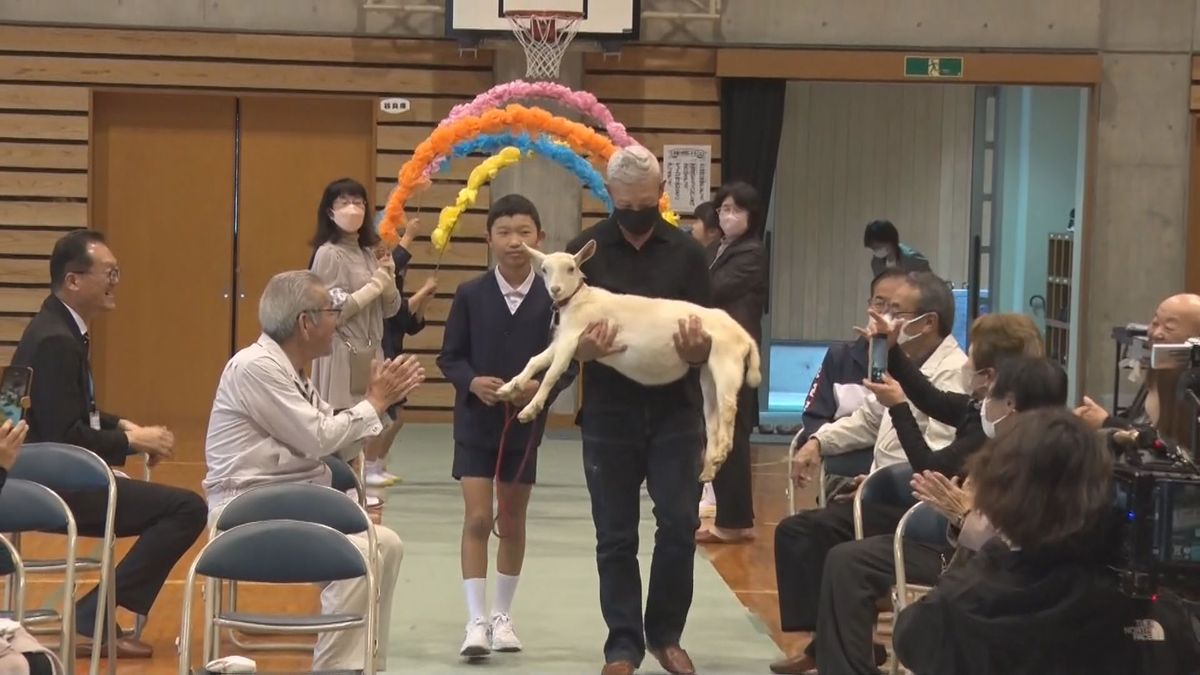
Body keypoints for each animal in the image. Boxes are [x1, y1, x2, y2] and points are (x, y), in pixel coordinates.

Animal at [494, 239, 758, 480]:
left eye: (570, 268)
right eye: (544, 269)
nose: (555, 290)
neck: (579, 299)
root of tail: (744, 336)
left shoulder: (572, 338)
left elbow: (552, 373)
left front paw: (530, 409)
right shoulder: (563, 340)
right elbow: (536, 361)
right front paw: (510, 387)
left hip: (726, 361)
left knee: (728, 406)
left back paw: (722, 451)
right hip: (708, 369)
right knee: (713, 414)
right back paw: (710, 467)